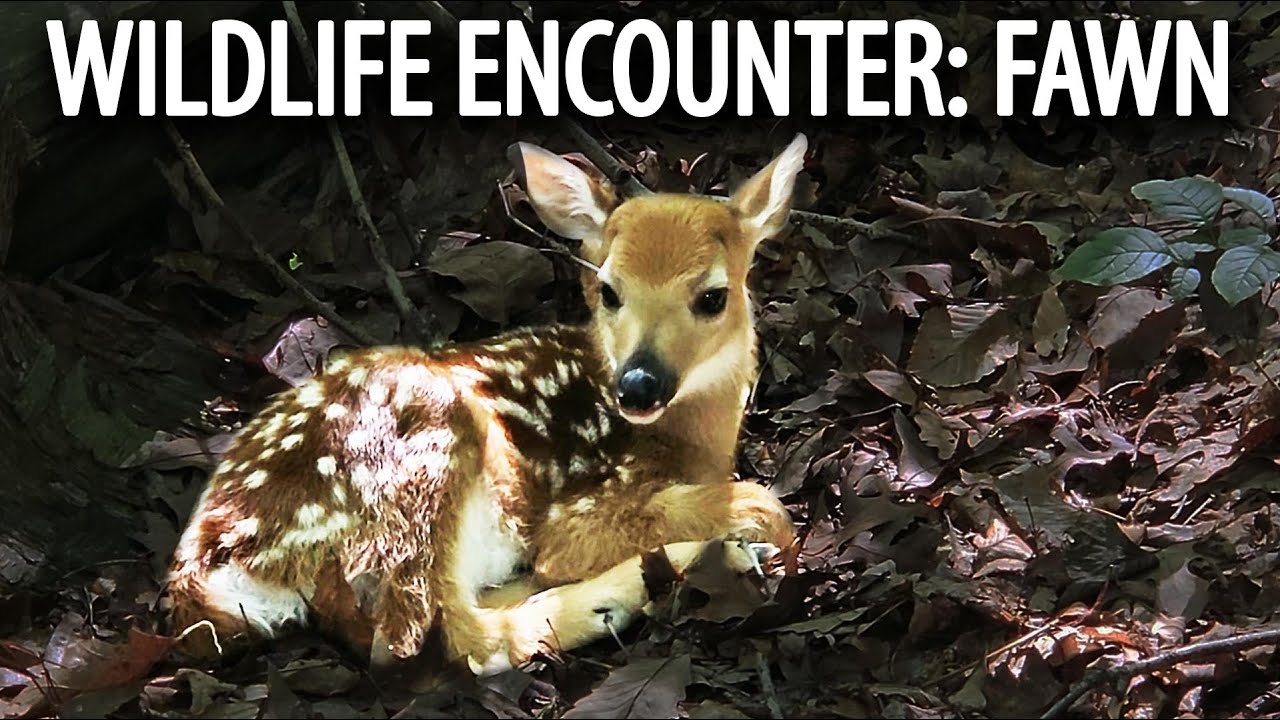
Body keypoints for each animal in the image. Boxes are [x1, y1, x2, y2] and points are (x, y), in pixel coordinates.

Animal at [165, 133, 808, 678]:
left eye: (713, 297)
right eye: (609, 291)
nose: (639, 385)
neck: (690, 440)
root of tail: (202, 571)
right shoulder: (578, 509)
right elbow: (745, 504)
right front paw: (756, 529)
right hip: (427, 449)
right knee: (446, 639)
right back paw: (674, 572)